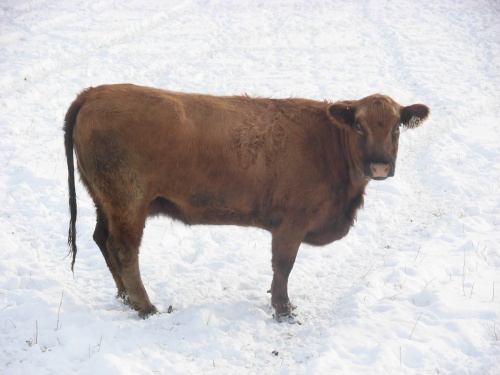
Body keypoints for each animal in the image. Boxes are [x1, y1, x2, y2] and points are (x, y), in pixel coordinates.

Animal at [63, 84, 430, 320]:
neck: (328, 144)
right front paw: (283, 310)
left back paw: (125, 298)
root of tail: (94, 93)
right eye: (359, 125)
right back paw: (145, 307)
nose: (380, 165)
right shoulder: (291, 224)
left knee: (103, 241)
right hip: (127, 204)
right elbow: (283, 266)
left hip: (105, 202)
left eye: (396, 127)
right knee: (124, 250)